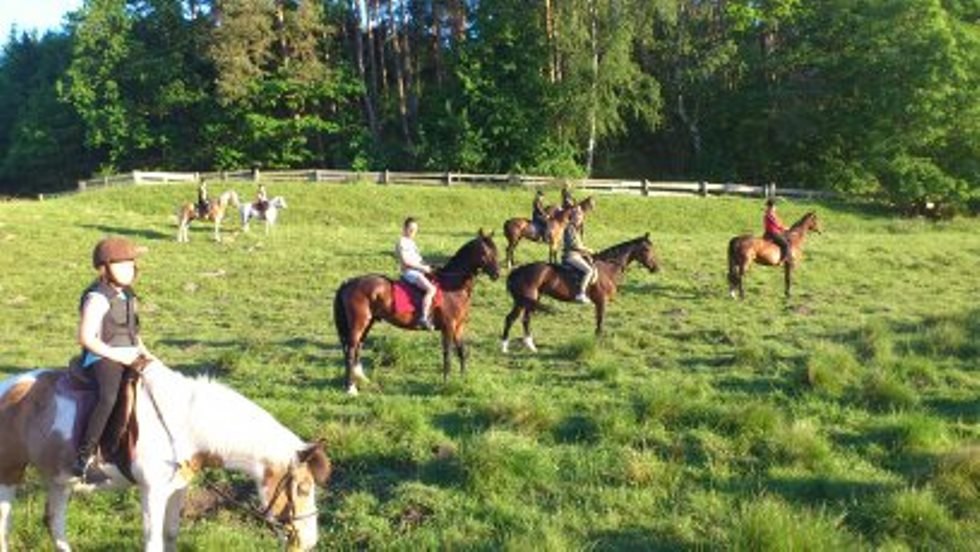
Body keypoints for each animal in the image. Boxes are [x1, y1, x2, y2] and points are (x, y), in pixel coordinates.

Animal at [0, 362, 332, 552]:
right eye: (303, 489)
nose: (310, 541)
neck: (187, 424)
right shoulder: (153, 491)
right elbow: (153, 541)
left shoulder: (178, 488)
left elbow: (171, 534)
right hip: (9, 474)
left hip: (59, 479)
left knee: (54, 523)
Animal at [336, 231, 506, 394]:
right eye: (485, 251)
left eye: (496, 250)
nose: (497, 274)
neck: (451, 285)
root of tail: (350, 282)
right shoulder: (448, 327)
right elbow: (447, 354)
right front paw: (446, 382)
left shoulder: (459, 326)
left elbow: (461, 352)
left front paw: (463, 379)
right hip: (359, 322)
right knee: (351, 350)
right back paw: (351, 388)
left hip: (369, 322)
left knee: (358, 346)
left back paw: (361, 379)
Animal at [498, 234, 660, 354]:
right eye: (646, 249)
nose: (656, 268)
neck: (608, 268)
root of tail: (519, 270)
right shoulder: (601, 302)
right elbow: (600, 323)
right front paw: (598, 344)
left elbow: (599, 323)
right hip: (523, 301)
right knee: (511, 319)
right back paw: (504, 348)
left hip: (530, 300)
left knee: (525, 320)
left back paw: (531, 347)